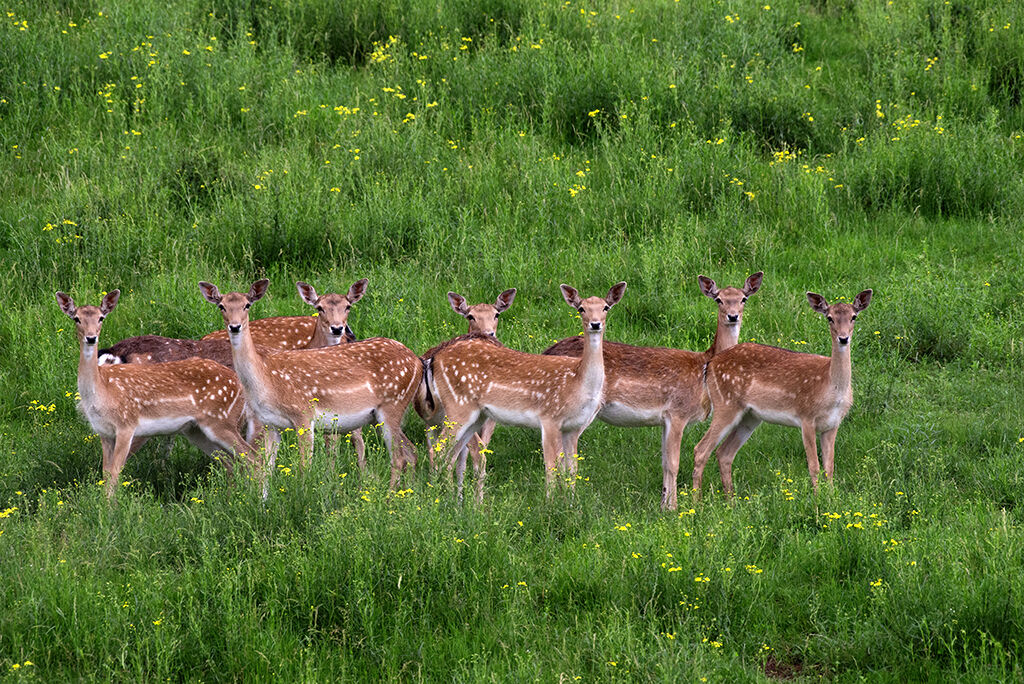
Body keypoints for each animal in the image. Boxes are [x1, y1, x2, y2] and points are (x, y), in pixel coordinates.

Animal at [55, 290, 258, 498]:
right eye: (76, 318)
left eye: (101, 317)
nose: (91, 337)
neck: (102, 394)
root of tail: (238, 383)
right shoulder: (104, 432)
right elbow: (106, 473)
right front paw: (103, 504)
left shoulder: (126, 426)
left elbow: (114, 473)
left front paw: (111, 506)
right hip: (197, 430)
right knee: (232, 462)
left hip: (222, 421)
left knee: (252, 457)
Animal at [199, 279, 421, 489]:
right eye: (221, 306)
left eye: (247, 305)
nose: (235, 326)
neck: (265, 379)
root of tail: (417, 362)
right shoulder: (270, 423)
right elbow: (266, 468)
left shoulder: (303, 414)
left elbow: (304, 467)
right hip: (381, 415)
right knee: (410, 450)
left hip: (393, 403)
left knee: (398, 456)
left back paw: (390, 496)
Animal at [427, 282, 626, 502]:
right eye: (581, 308)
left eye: (605, 307)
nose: (595, 324)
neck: (578, 383)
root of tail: (435, 359)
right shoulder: (549, 418)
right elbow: (551, 467)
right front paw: (549, 504)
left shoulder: (573, 427)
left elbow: (572, 469)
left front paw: (571, 503)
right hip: (457, 407)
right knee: (438, 451)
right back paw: (439, 499)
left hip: (476, 416)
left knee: (452, 454)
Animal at [543, 272, 762, 510]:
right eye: (719, 299)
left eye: (743, 299)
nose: (733, 316)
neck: (704, 370)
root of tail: (547, 351)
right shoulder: (678, 412)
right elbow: (674, 463)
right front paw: (674, 508)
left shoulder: (664, 419)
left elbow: (665, 462)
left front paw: (663, 506)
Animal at [691, 289, 873, 498]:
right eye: (830, 318)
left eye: (854, 317)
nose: (843, 338)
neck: (831, 390)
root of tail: (710, 364)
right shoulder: (806, 417)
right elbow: (814, 466)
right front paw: (818, 501)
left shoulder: (833, 424)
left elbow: (829, 468)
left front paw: (831, 499)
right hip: (725, 404)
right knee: (701, 449)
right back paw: (697, 501)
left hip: (750, 416)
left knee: (724, 453)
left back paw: (731, 500)